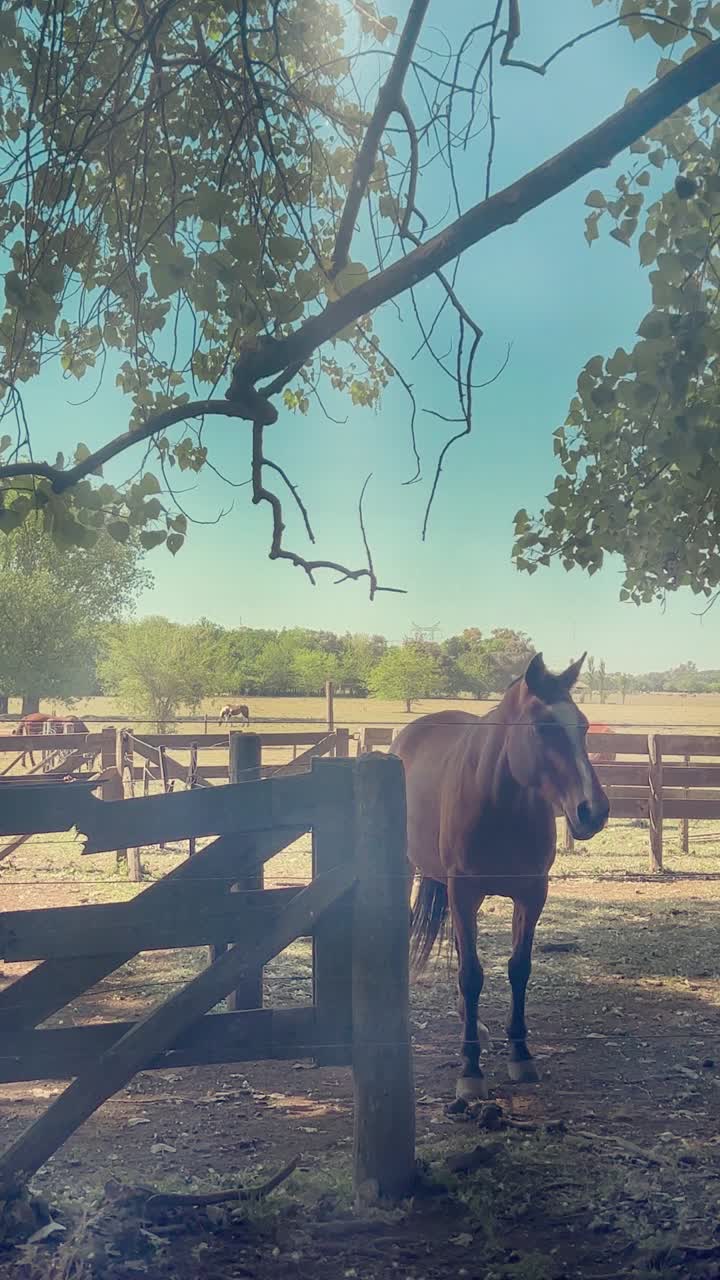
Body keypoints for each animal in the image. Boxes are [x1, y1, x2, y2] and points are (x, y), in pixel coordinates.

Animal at [392, 652, 609, 1103]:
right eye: (542, 727)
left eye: (582, 726)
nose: (593, 811)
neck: (500, 802)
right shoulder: (463, 891)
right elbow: (472, 974)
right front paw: (470, 1069)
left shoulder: (532, 894)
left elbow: (517, 968)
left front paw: (520, 1053)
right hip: (411, 871)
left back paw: (470, 1022)